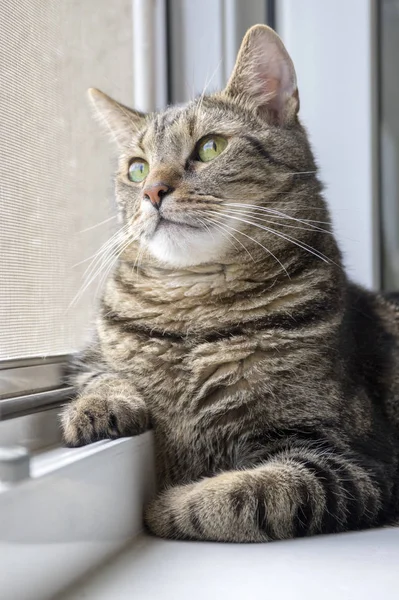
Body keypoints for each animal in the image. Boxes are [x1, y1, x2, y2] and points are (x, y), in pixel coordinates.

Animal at [61, 25, 399, 540]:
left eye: (210, 147)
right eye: (137, 168)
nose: (151, 191)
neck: (194, 312)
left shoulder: (353, 461)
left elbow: (259, 493)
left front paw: (167, 505)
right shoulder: (90, 355)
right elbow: (100, 375)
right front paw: (97, 410)